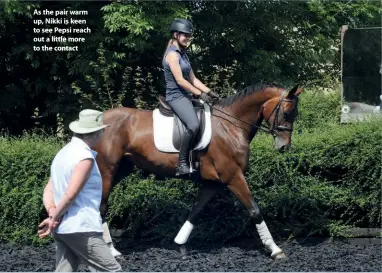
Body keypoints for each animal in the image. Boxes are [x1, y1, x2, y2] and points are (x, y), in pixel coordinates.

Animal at [95, 82, 302, 258]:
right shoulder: (233, 177)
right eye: (286, 113)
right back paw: (111, 251)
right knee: (101, 207)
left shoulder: (213, 183)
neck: (231, 126)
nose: (284, 147)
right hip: (106, 170)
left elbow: (195, 211)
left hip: (121, 169)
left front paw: (180, 244)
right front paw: (275, 249)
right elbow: (255, 210)